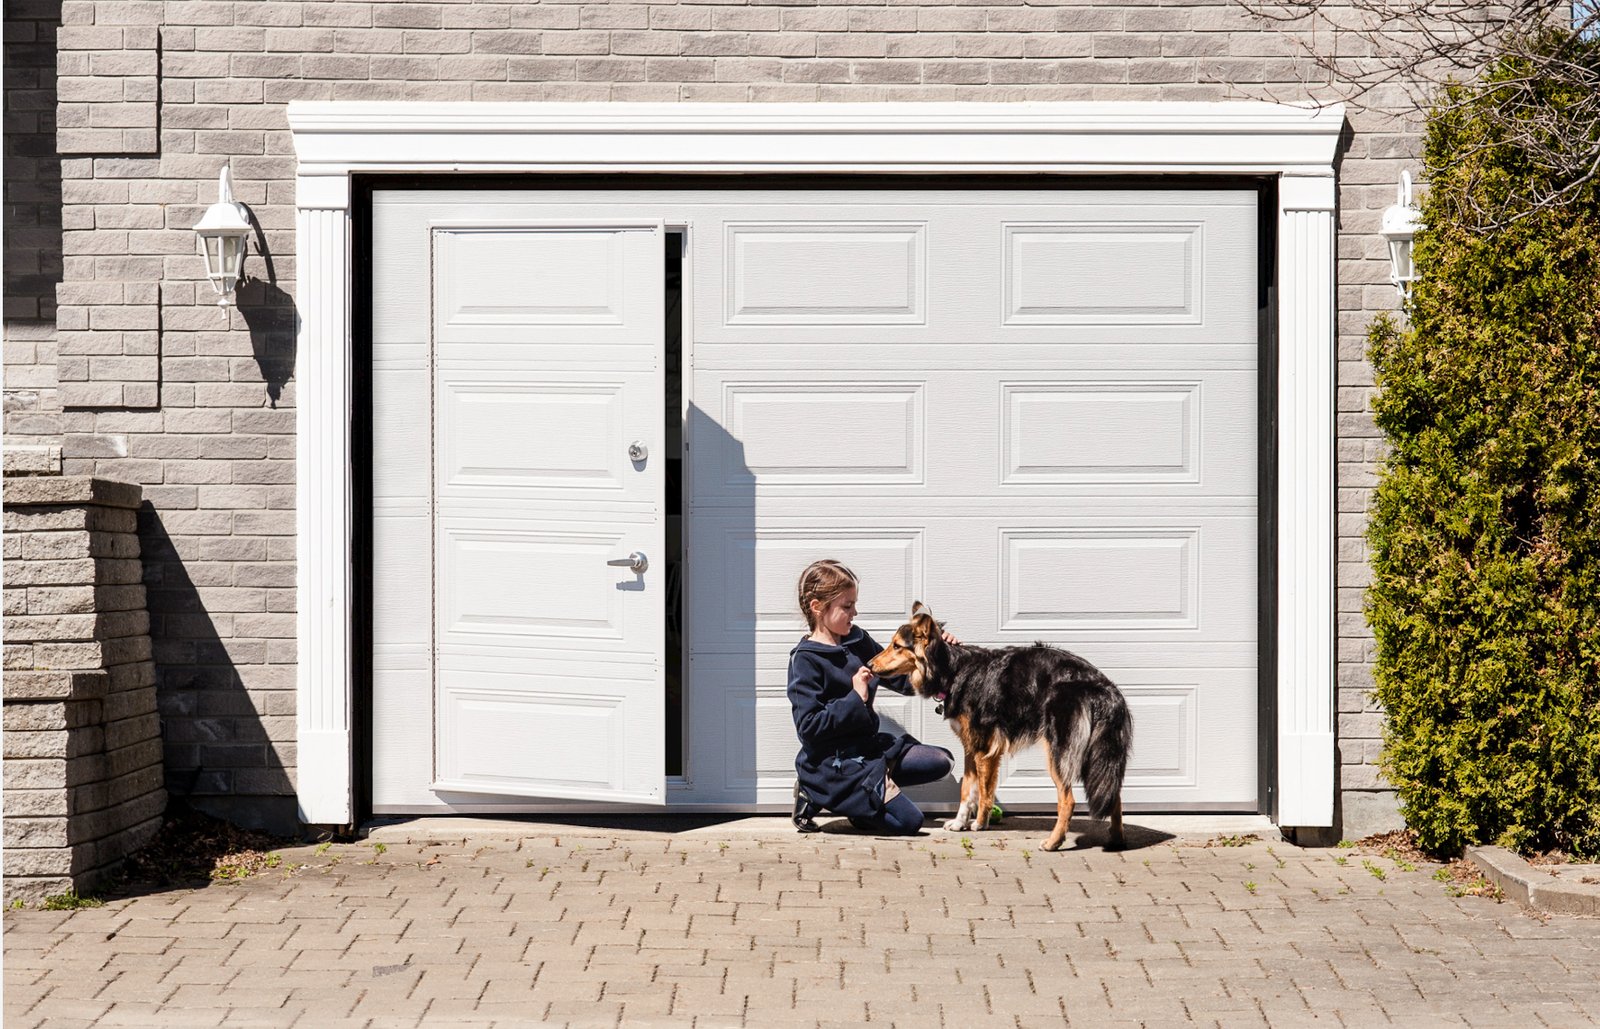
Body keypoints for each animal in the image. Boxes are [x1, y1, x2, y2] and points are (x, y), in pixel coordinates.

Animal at [870, 604, 1132, 851]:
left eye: (896, 646)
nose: (869, 665)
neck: (953, 670)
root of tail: (1104, 689)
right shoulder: (973, 747)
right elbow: (968, 789)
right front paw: (960, 823)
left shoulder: (982, 748)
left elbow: (983, 790)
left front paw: (978, 823)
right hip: (1098, 754)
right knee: (1113, 793)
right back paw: (1116, 839)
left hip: (1060, 752)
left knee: (1068, 800)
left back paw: (1053, 842)